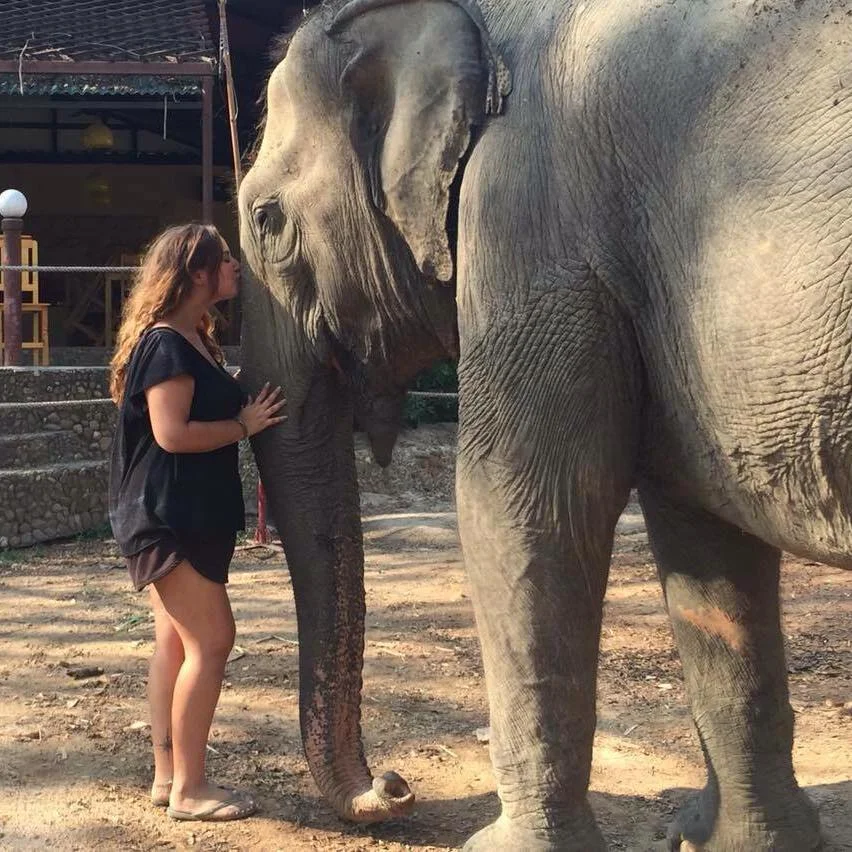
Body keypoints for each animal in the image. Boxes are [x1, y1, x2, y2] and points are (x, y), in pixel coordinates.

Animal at [237, 0, 852, 849]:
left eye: (267, 219)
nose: (394, 785)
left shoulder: (529, 227)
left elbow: (518, 505)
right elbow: (707, 543)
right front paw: (727, 842)